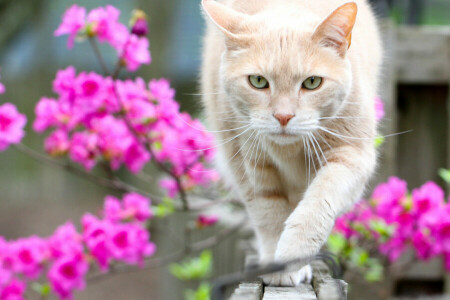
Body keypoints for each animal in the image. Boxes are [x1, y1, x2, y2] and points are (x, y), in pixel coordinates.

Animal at [200, 0, 380, 288]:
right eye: (258, 81)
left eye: (312, 82)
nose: (283, 116)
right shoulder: (249, 167)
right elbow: (269, 216)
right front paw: (278, 267)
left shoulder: (351, 158)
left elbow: (316, 206)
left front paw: (293, 254)